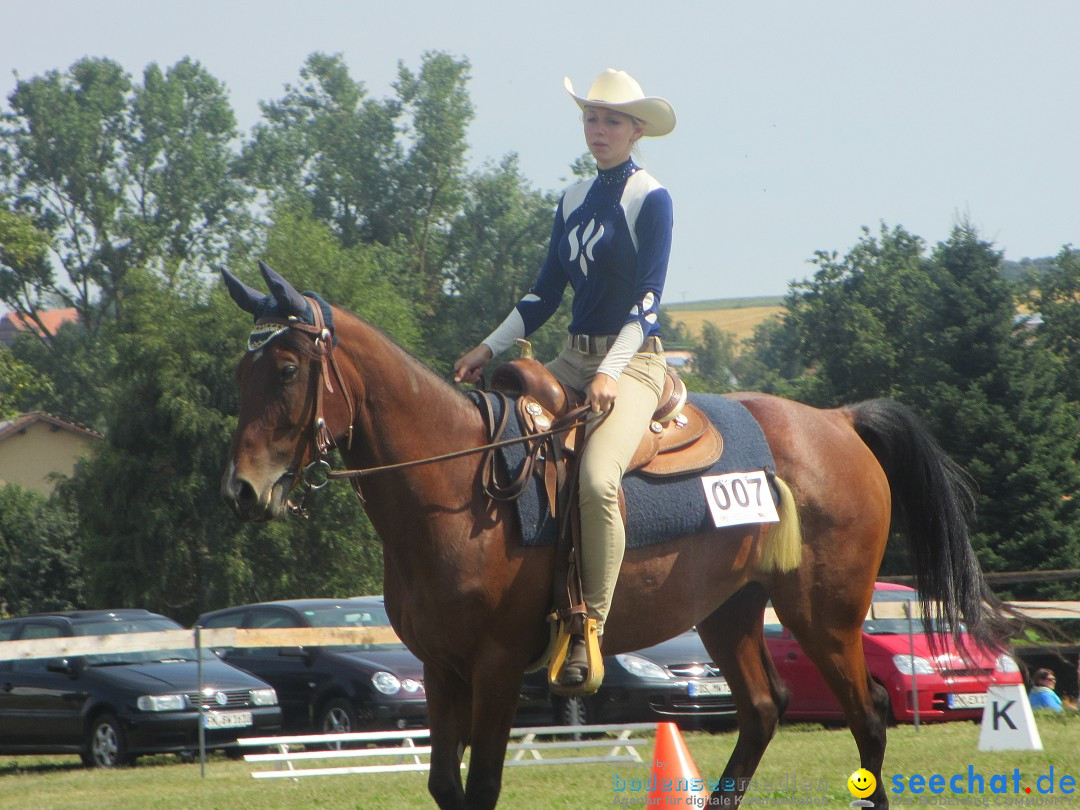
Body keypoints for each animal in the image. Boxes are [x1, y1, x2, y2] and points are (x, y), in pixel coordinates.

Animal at [217, 263, 1002, 807]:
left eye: (286, 369)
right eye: (241, 369)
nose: (242, 490)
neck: (455, 486)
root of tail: (838, 421)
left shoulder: (497, 667)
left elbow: (481, 787)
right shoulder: (441, 668)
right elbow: (445, 786)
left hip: (824, 615)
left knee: (867, 719)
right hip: (730, 611)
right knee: (761, 711)